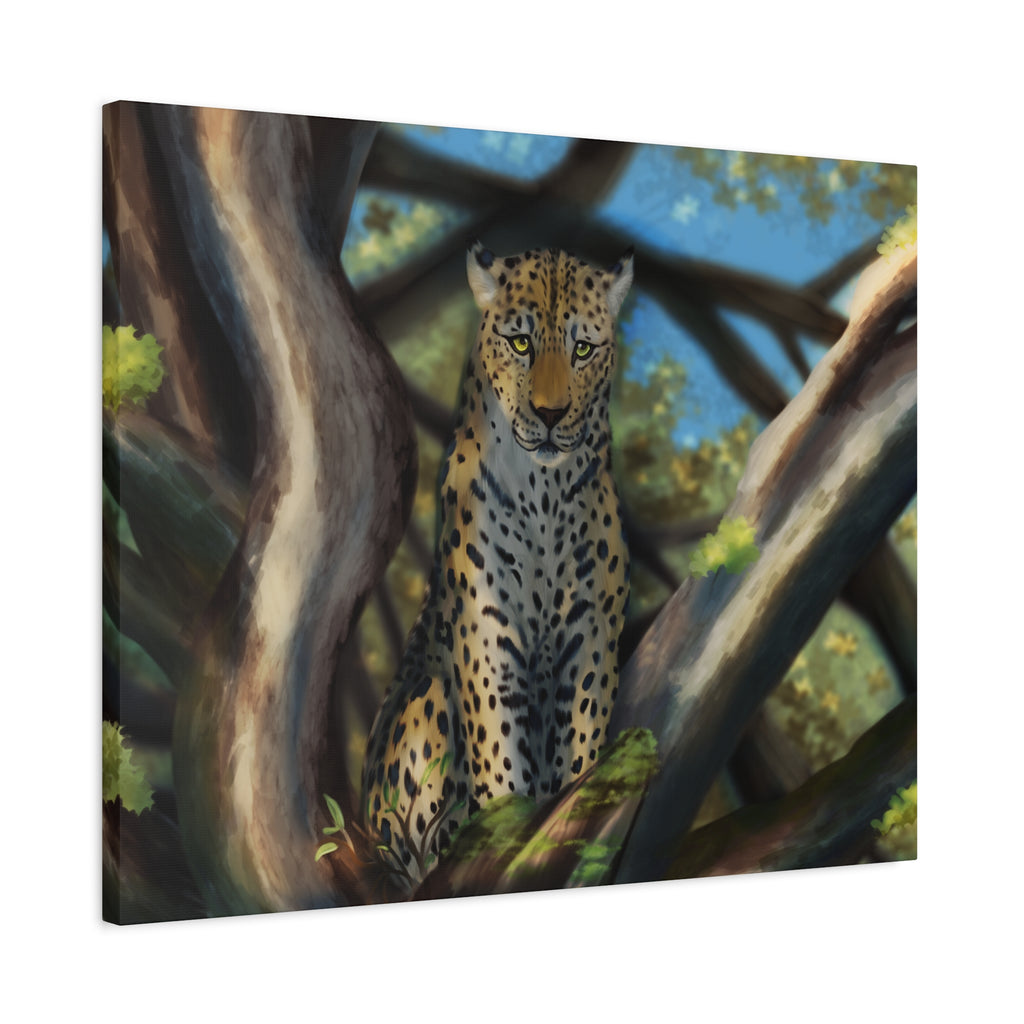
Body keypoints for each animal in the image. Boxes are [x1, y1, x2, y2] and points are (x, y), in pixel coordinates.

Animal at [361, 240, 633, 888]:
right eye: (521, 343)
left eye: (583, 349)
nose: (552, 413)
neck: (544, 492)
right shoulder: (486, 635)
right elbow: (498, 748)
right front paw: (508, 826)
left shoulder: (591, 635)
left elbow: (582, 741)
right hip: (425, 705)